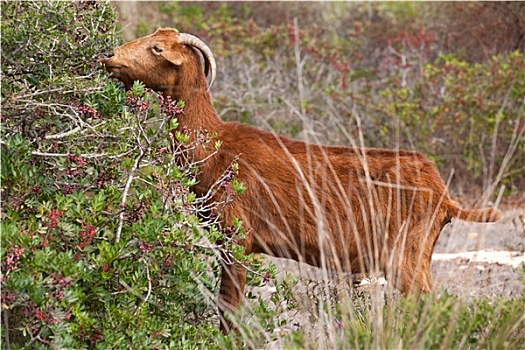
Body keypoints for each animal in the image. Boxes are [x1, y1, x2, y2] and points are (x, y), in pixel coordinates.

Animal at [101, 28, 500, 334]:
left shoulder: (236, 238)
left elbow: (229, 310)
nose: (109, 56)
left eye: (157, 48)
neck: (214, 147)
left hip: (405, 257)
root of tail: (444, 196)